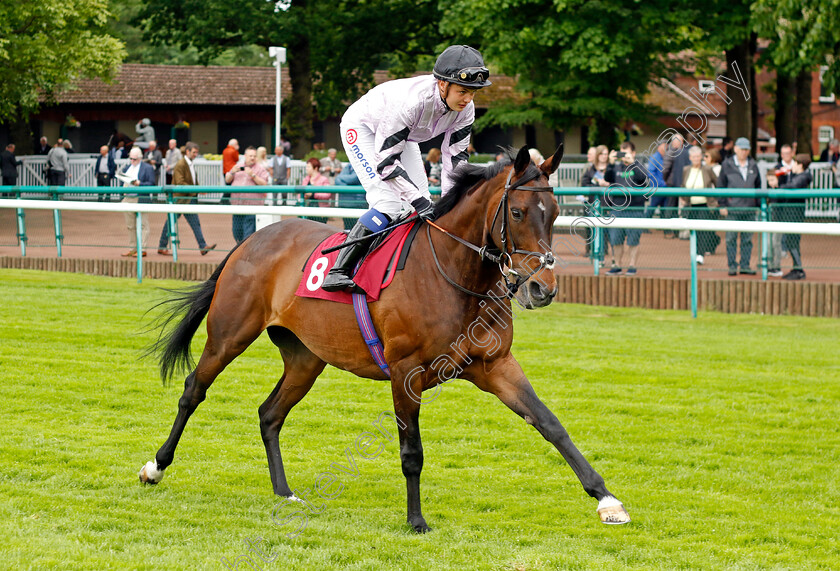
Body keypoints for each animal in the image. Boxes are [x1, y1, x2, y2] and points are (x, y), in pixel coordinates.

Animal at [139, 145, 632, 528]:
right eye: (517, 212)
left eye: (555, 213)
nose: (542, 289)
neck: (453, 272)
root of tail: (252, 240)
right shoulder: (405, 372)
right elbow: (411, 450)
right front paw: (416, 520)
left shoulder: (495, 365)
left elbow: (550, 423)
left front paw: (606, 500)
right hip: (230, 335)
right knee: (193, 390)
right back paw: (155, 466)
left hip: (305, 358)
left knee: (270, 413)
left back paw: (285, 491)